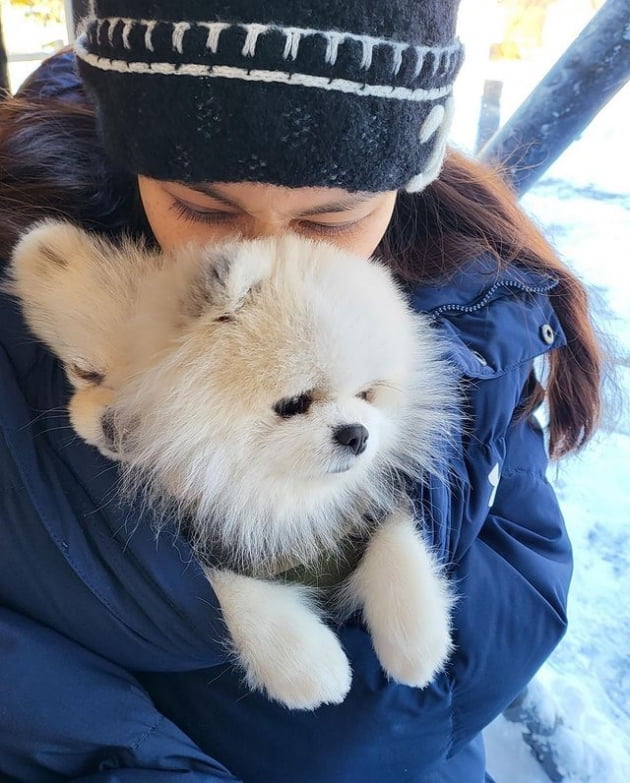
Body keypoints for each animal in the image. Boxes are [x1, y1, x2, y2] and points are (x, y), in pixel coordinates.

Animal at [6, 220, 460, 712]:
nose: (356, 434)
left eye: (368, 394)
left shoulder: (361, 510)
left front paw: (416, 642)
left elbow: (397, 544)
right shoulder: (205, 543)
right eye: (85, 372)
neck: (270, 487)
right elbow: (234, 595)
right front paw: (307, 665)